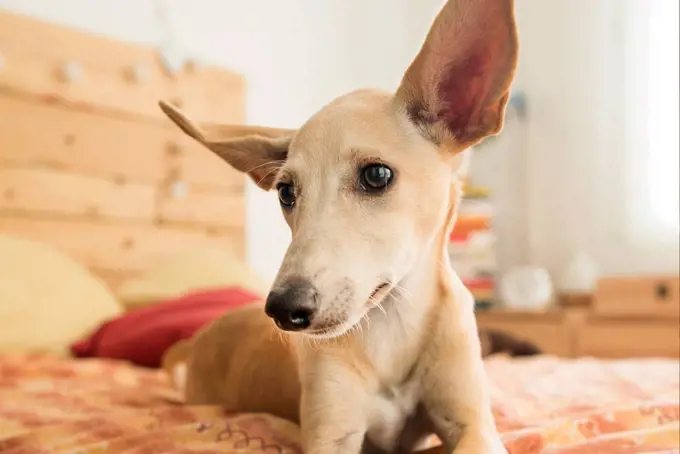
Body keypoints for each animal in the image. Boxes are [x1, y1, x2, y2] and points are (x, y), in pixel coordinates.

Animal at [161, 0, 520, 450]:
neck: (391, 327)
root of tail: (198, 337)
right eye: (286, 192)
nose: (284, 310)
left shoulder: (473, 423)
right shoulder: (332, 434)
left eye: (377, 175)